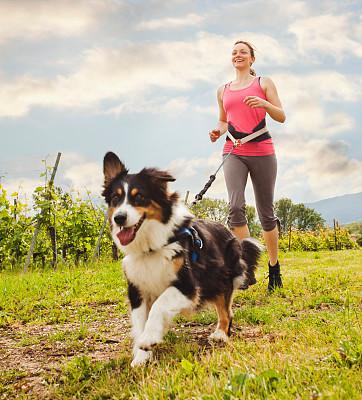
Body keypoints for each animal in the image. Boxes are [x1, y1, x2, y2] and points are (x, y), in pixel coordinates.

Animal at [103, 152, 262, 366]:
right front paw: (141, 357)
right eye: (115, 198)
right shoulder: (137, 289)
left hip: (220, 278)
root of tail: (229, 231)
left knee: (226, 311)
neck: (152, 247)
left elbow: (159, 305)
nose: (119, 218)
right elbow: (140, 322)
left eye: (140, 197)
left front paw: (149, 339)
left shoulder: (188, 286)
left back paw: (221, 334)